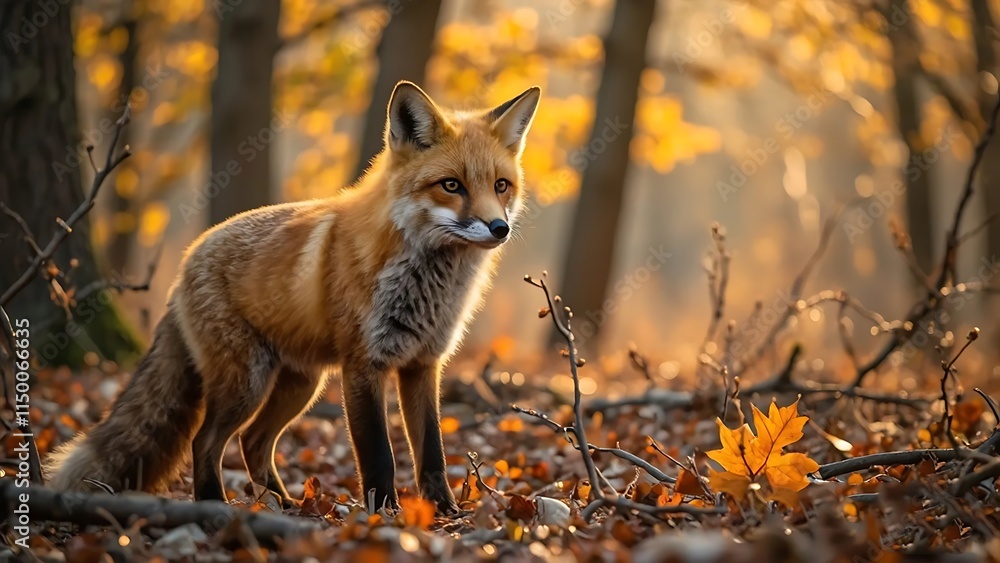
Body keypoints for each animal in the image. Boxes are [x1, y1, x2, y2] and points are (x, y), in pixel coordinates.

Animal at [46, 81, 541, 514]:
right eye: (451, 185)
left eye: (500, 185)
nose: (499, 228)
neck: (427, 284)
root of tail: (186, 262)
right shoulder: (363, 366)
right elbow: (379, 456)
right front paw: (387, 515)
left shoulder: (423, 365)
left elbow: (432, 451)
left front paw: (444, 511)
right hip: (247, 383)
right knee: (205, 441)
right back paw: (215, 504)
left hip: (300, 384)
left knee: (252, 443)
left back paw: (285, 503)